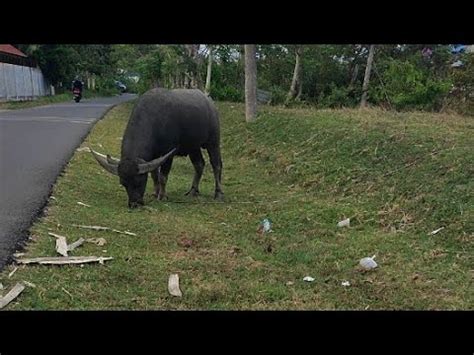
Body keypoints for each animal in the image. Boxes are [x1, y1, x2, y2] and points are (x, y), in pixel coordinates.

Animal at [90, 88, 224, 209]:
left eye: (140, 181)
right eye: (123, 183)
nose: (134, 204)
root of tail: (209, 102)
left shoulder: (168, 154)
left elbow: (163, 176)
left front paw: (162, 196)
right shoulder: (152, 156)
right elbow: (154, 174)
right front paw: (155, 193)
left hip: (213, 142)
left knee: (216, 164)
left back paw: (218, 194)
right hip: (193, 147)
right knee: (199, 164)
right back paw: (193, 191)